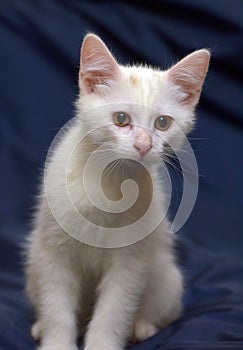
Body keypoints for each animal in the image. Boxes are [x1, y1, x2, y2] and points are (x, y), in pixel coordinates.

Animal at [25, 33, 210, 350]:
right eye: (121, 118)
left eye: (163, 123)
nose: (143, 145)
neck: (110, 186)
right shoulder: (54, 252)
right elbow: (56, 307)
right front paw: (56, 342)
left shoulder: (130, 262)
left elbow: (114, 311)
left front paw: (102, 343)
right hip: (33, 259)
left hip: (167, 278)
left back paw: (142, 327)